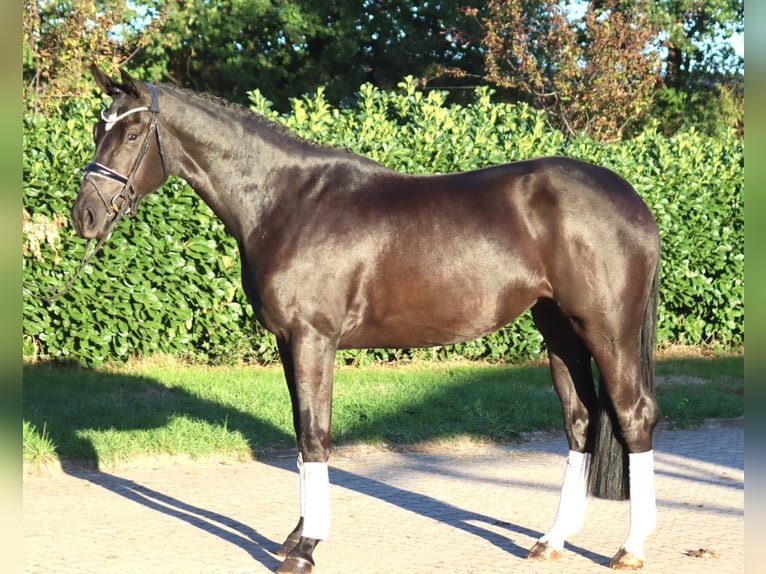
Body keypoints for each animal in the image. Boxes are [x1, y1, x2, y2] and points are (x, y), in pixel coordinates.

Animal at [71, 65, 661, 573]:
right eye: (99, 128)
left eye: (131, 134)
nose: (85, 216)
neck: (287, 202)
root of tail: (634, 201)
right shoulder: (289, 342)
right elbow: (301, 433)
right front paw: (297, 536)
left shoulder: (313, 338)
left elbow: (316, 435)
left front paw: (306, 548)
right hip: (558, 329)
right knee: (581, 420)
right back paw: (552, 540)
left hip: (606, 330)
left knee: (633, 416)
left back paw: (630, 547)